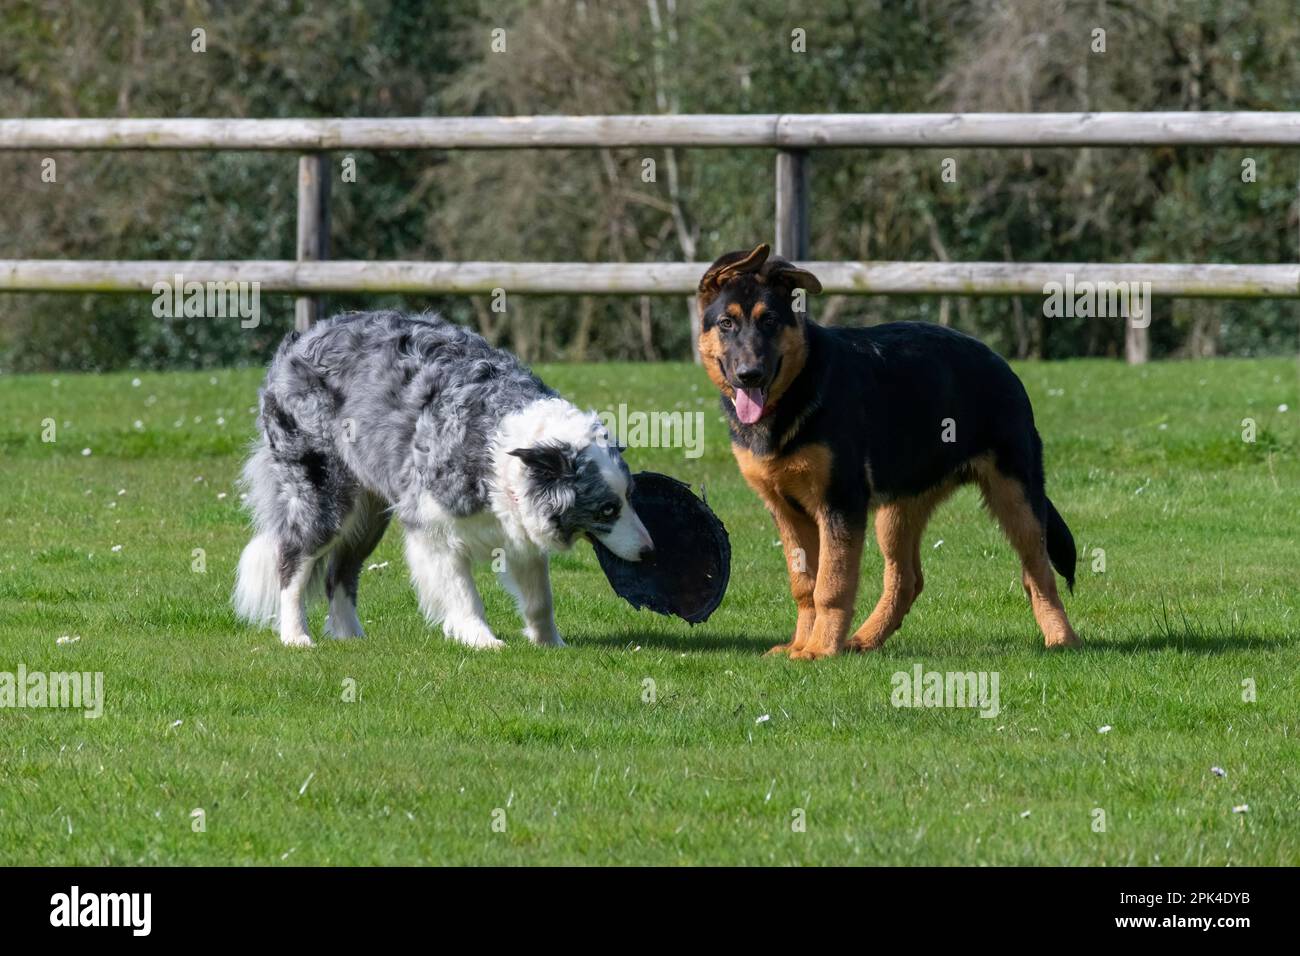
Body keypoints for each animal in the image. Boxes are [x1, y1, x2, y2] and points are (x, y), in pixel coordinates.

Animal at [696, 243, 1081, 660]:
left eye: (769, 321)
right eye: (726, 324)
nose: (750, 375)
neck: (798, 386)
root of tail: (999, 361)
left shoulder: (839, 504)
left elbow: (831, 585)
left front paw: (819, 649)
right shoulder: (786, 511)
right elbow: (804, 586)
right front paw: (801, 644)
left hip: (1015, 497)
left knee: (1038, 570)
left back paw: (1062, 638)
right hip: (897, 510)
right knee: (907, 579)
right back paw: (864, 639)